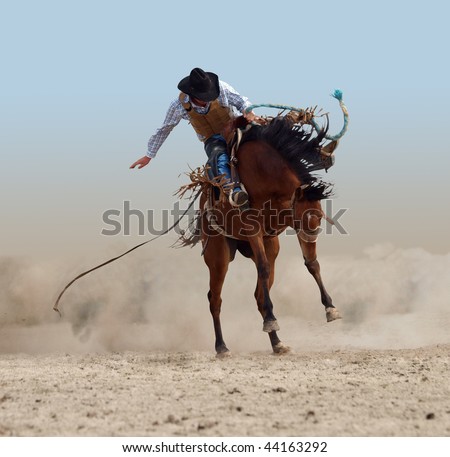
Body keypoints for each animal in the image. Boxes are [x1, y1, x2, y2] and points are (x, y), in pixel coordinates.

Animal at [199, 115, 340, 356]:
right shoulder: (253, 227)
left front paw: (330, 308)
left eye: (320, 218)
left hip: (271, 246)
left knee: (259, 296)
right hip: (218, 256)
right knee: (214, 299)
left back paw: (276, 342)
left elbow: (312, 263)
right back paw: (222, 347)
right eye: (304, 219)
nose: (312, 236)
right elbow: (263, 267)